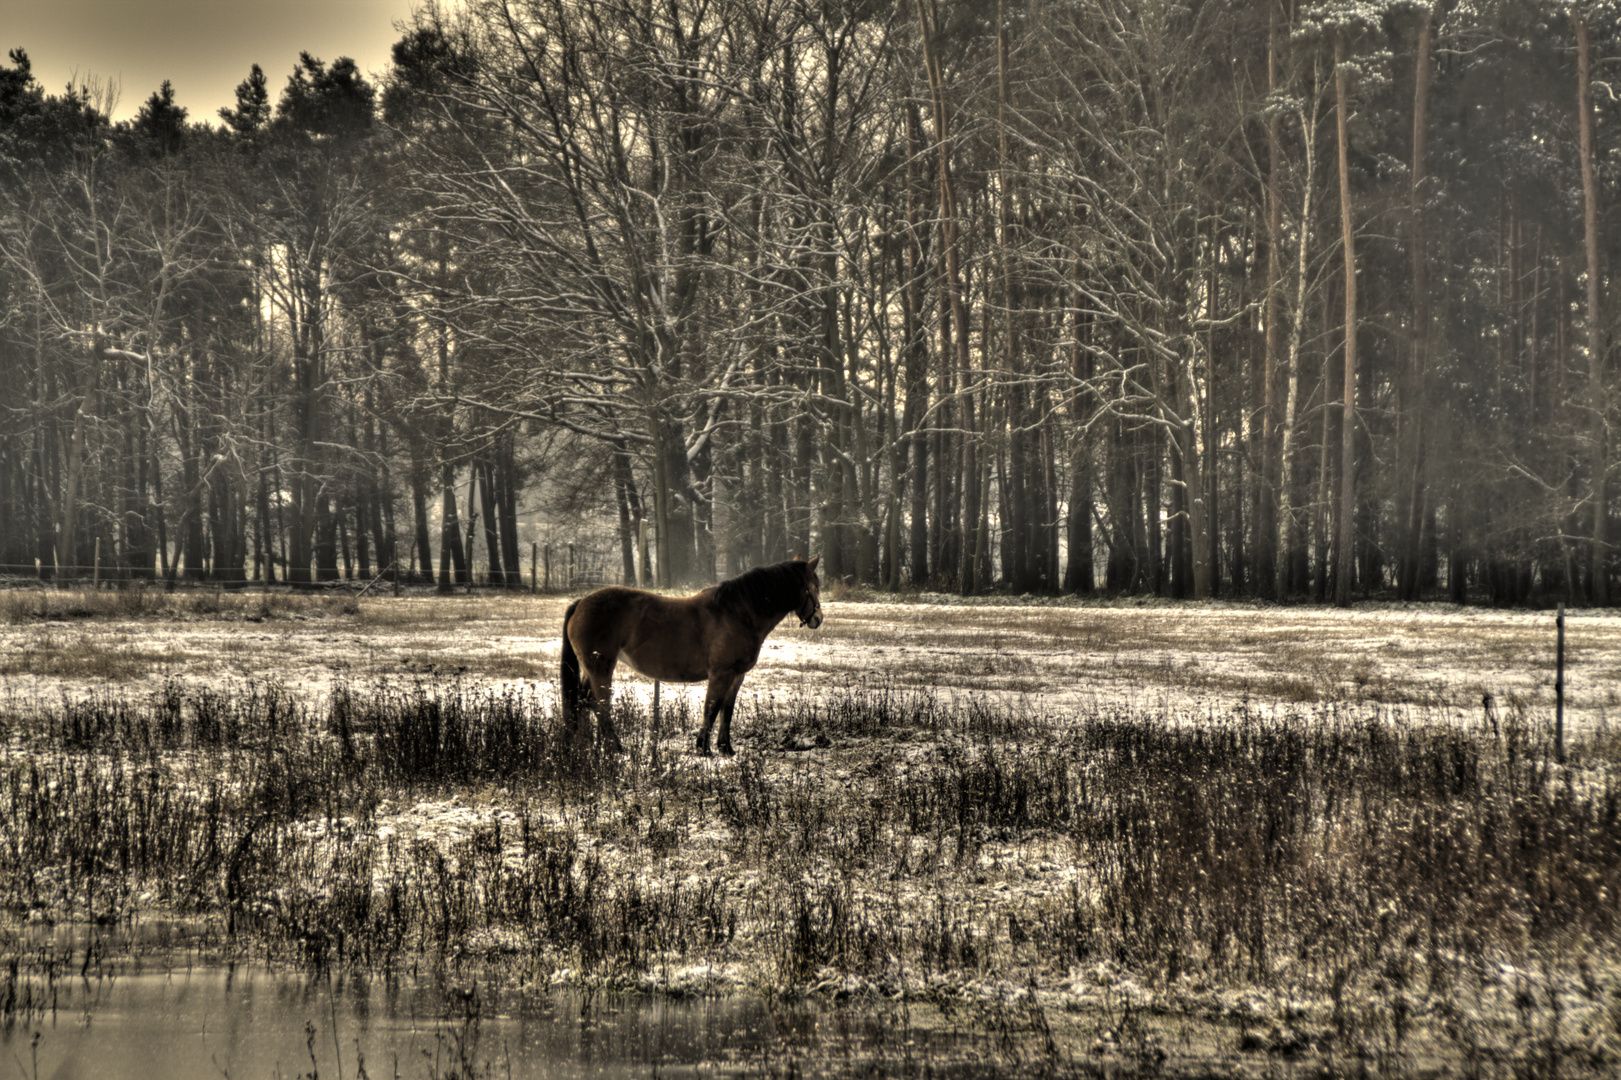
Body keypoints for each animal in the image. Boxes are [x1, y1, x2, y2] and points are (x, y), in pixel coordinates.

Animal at [567, 551, 823, 752]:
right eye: (814, 587)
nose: (818, 619)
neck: (737, 613)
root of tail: (581, 603)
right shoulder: (720, 674)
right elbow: (711, 709)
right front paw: (704, 749)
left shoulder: (736, 676)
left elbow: (726, 711)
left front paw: (726, 749)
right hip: (601, 668)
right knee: (599, 705)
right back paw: (615, 747)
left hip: (591, 669)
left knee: (584, 701)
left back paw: (585, 746)